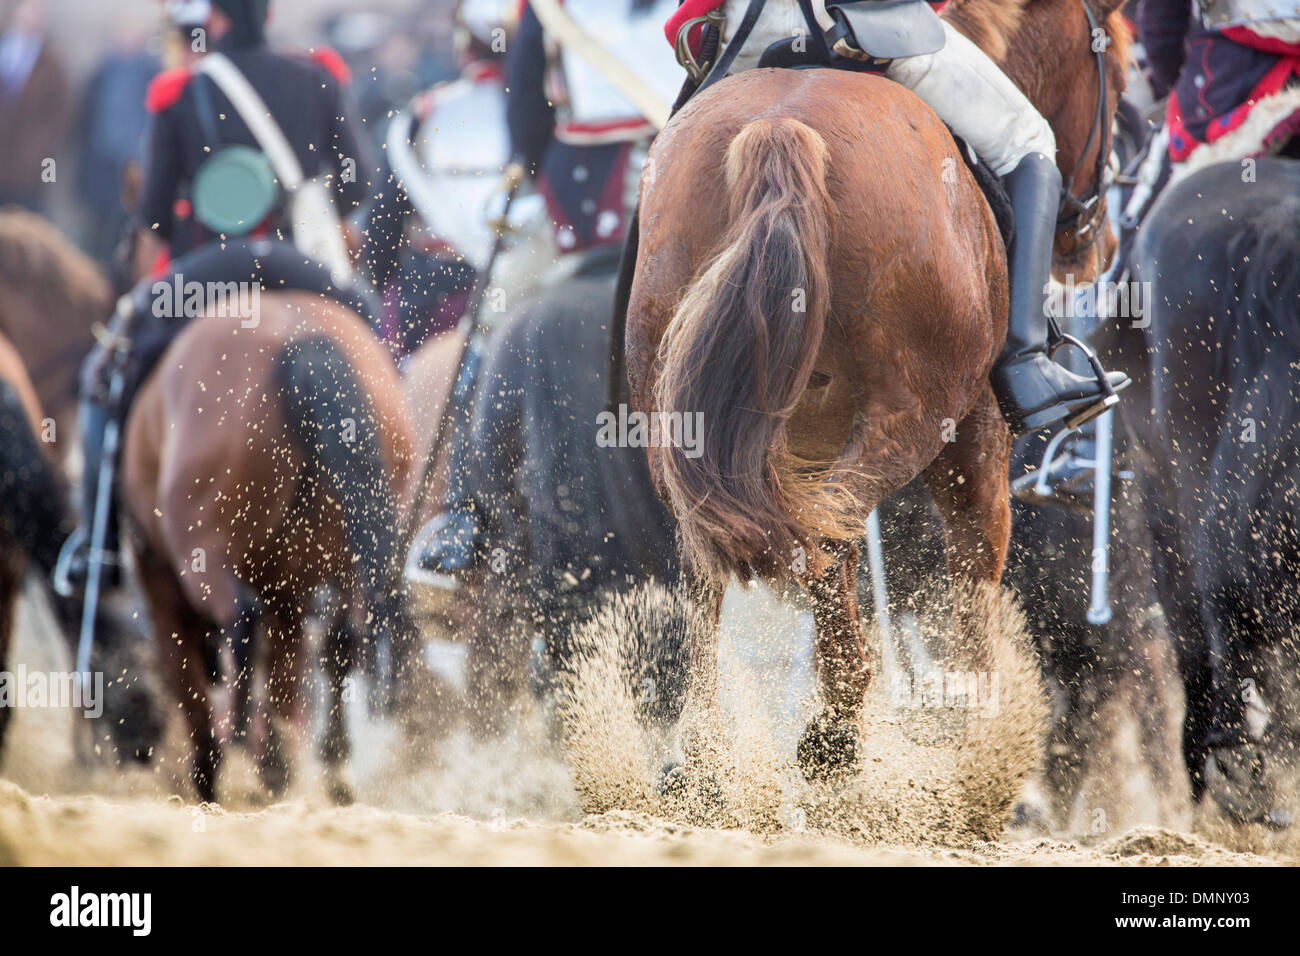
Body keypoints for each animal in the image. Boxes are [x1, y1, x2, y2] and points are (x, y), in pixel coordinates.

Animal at [118, 290, 416, 801]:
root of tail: (300, 335)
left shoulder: (162, 590)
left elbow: (189, 681)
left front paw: (212, 770)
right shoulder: (290, 592)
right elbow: (287, 671)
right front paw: (277, 765)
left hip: (205, 557)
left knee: (241, 619)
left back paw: (237, 746)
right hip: (347, 561)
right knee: (341, 639)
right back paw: (329, 760)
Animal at [621, 0, 1128, 785]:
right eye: (1119, 74)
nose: (1097, 247)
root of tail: (781, 130)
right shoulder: (974, 436)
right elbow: (975, 567)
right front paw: (975, 737)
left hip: (684, 419)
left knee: (721, 557)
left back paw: (704, 751)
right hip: (913, 418)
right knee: (831, 539)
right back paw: (835, 733)